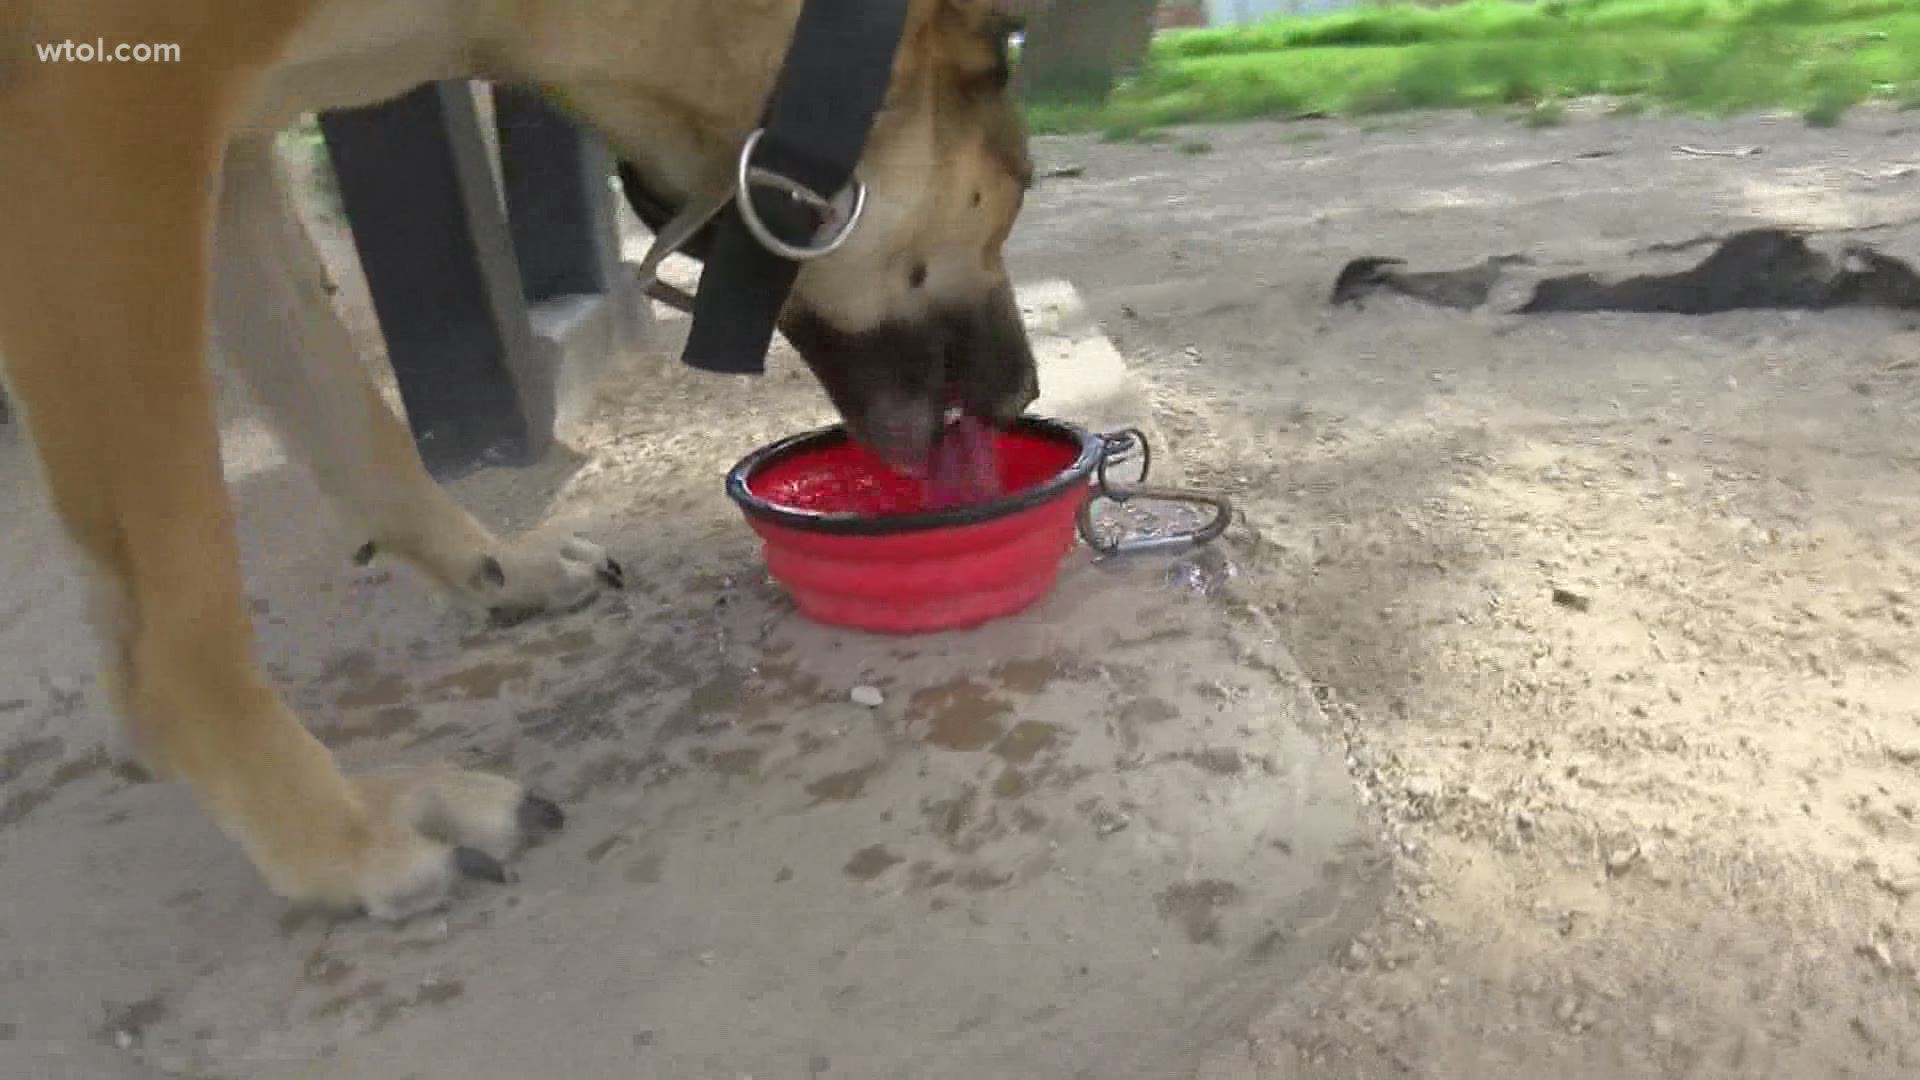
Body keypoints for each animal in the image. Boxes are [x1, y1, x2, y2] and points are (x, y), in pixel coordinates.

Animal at [0, 2, 1044, 914]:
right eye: (1016, 199)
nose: (1025, 395)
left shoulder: (229, 158)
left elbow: (350, 419)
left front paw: (497, 567)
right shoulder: (103, 136)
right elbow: (186, 600)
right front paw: (342, 832)